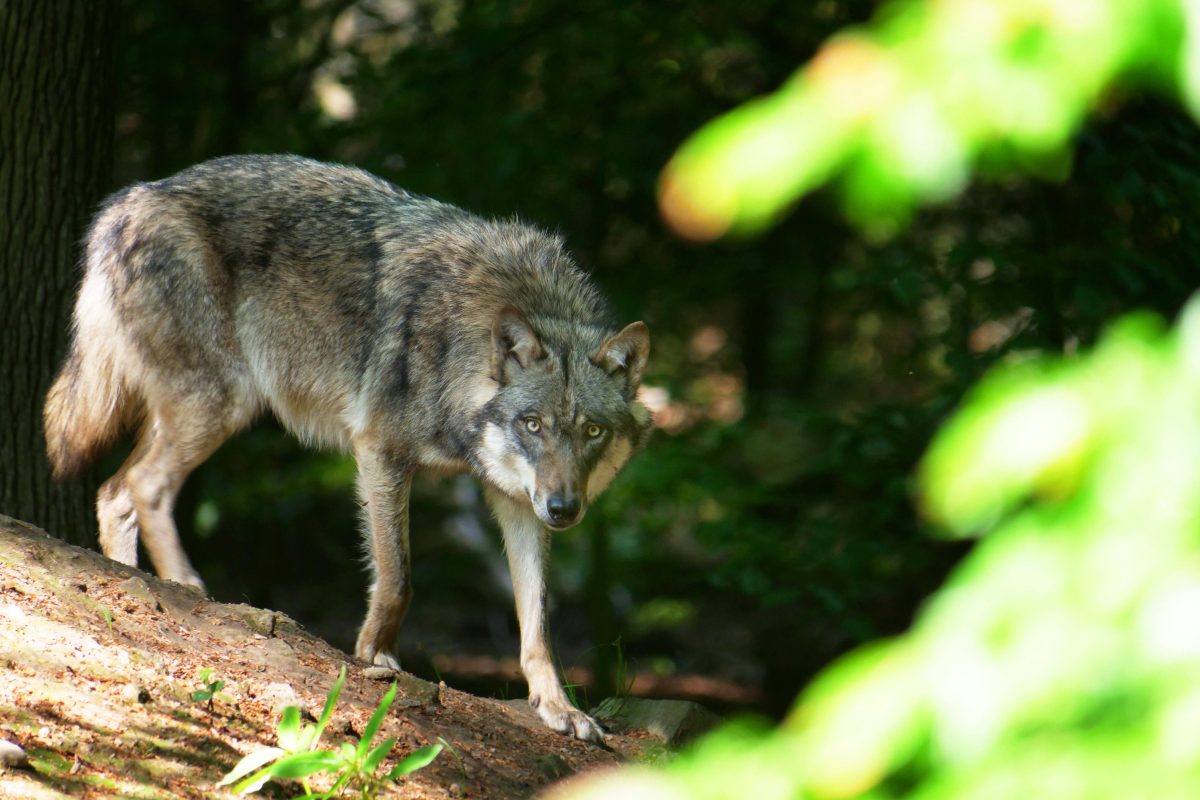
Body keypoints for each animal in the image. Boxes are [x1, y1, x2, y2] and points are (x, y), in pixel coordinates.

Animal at [42, 153, 652, 743]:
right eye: (532, 424)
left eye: (592, 432)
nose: (564, 509)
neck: (463, 343)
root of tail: (127, 202)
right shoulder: (381, 452)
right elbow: (399, 578)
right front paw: (375, 656)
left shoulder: (516, 501)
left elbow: (538, 621)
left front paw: (557, 708)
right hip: (220, 405)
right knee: (144, 486)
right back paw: (184, 587)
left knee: (114, 491)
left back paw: (132, 581)